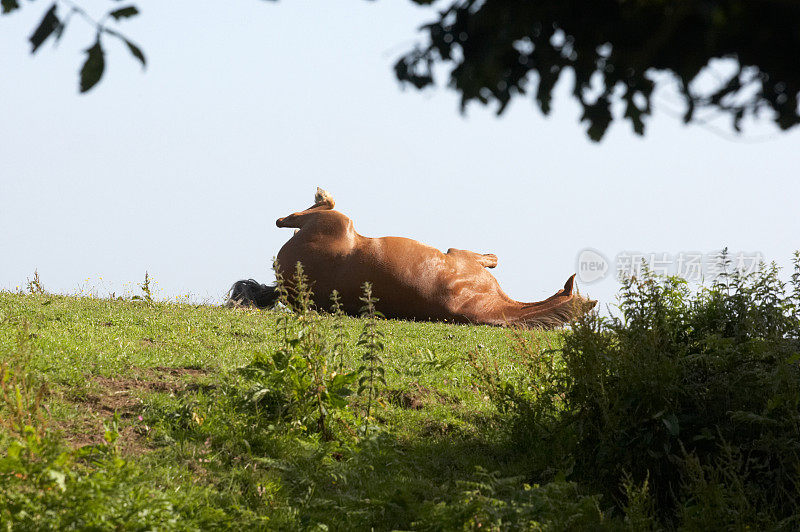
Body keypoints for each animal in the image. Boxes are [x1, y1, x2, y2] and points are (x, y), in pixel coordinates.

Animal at [228, 187, 596, 328]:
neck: (489, 304)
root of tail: (284, 283)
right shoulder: (461, 256)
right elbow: (494, 257)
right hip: (337, 221)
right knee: (287, 218)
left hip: (336, 221)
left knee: (287, 218)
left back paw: (322, 195)